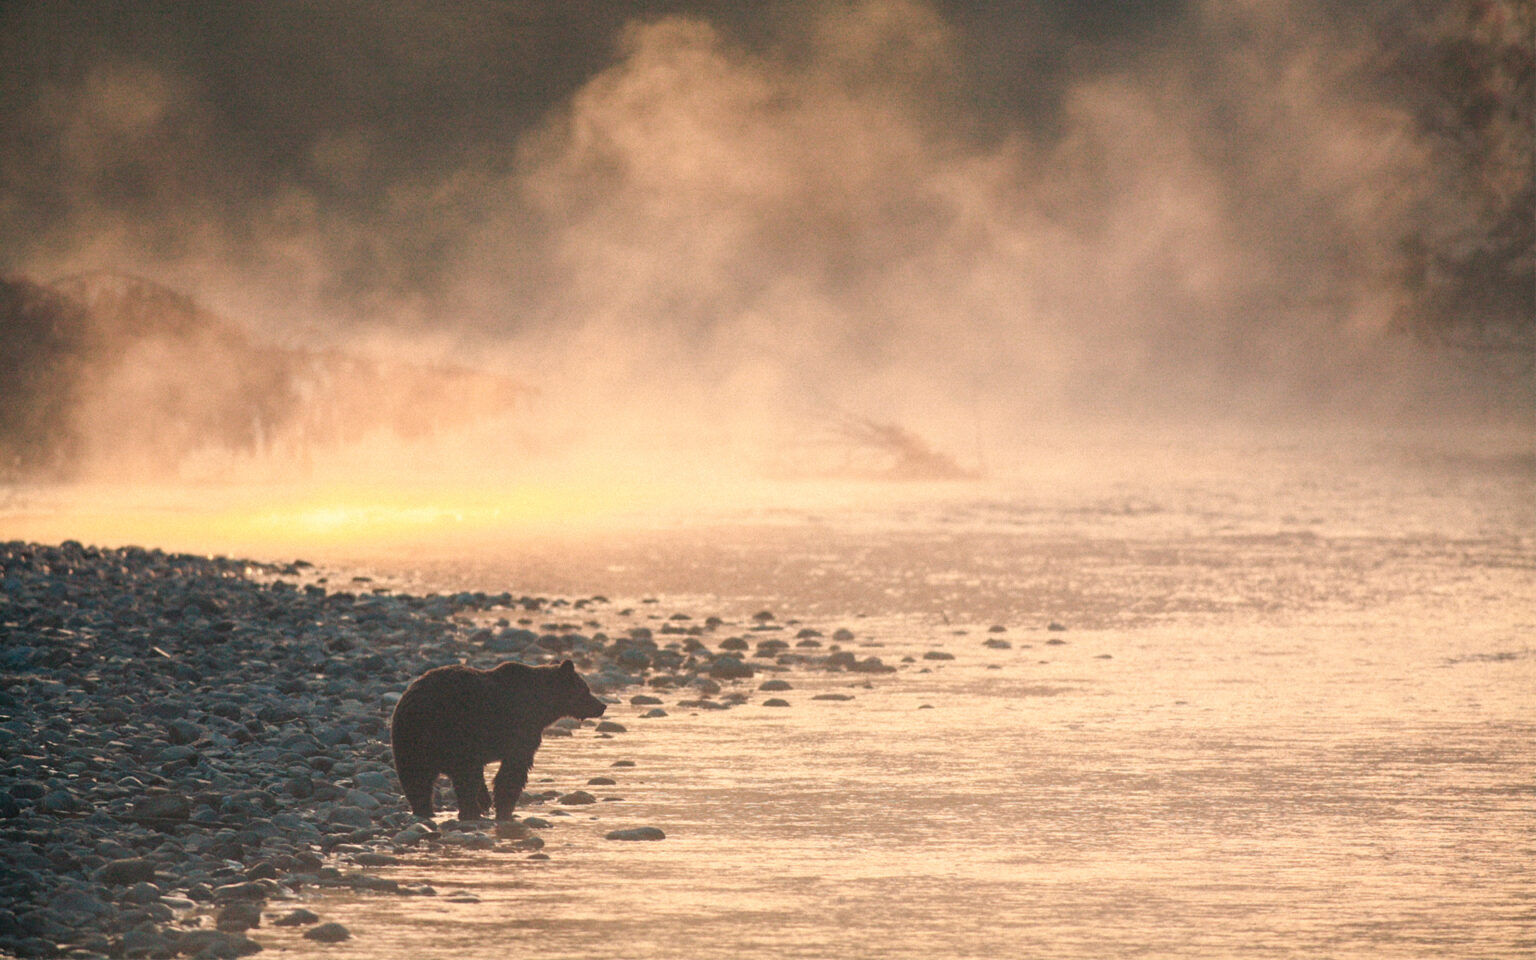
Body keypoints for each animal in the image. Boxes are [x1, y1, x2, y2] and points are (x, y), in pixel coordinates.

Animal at [389, 659, 606, 821]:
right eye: (586, 689)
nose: (601, 706)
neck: (541, 707)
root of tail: (416, 706)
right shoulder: (520, 728)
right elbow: (513, 770)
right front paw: (505, 808)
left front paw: (488, 801)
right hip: (453, 731)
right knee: (462, 777)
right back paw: (469, 812)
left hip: (408, 740)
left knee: (416, 779)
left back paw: (426, 810)